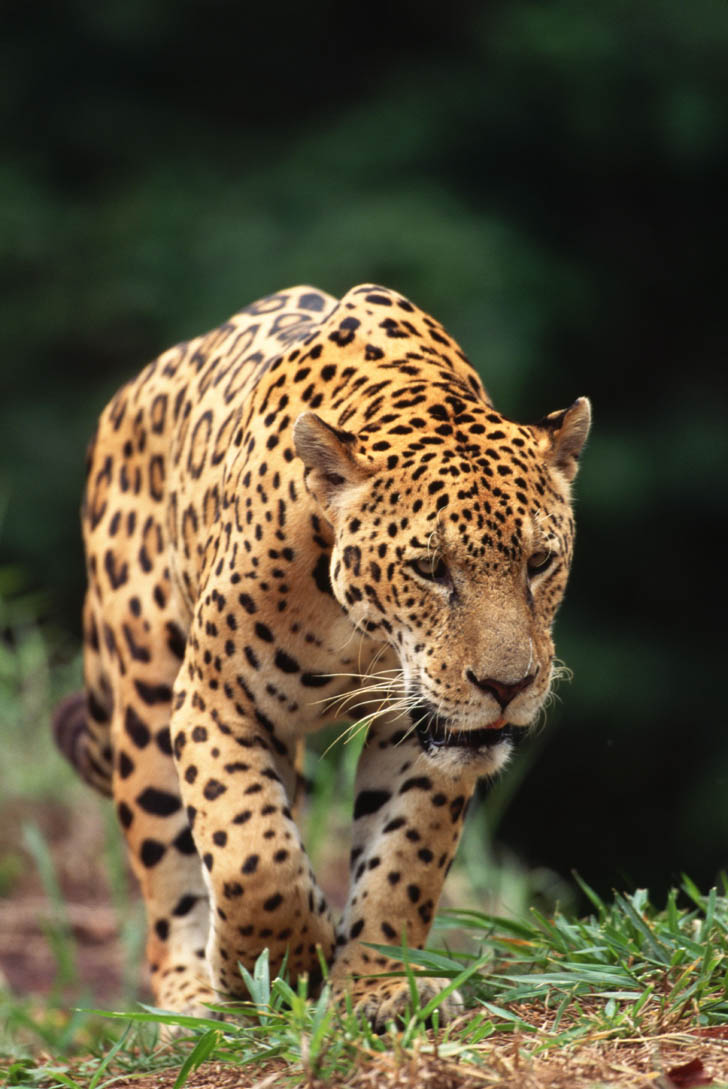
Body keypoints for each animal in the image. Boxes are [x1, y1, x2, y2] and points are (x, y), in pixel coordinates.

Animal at [53, 283, 590, 1028]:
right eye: (429, 568)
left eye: (539, 562)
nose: (507, 686)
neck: (358, 627)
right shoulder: (215, 701)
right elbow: (251, 854)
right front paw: (281, 959)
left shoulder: (419, 734)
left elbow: (402, 860)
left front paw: (375, 984)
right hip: (144, 697)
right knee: (170, 886)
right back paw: (192, 1003)